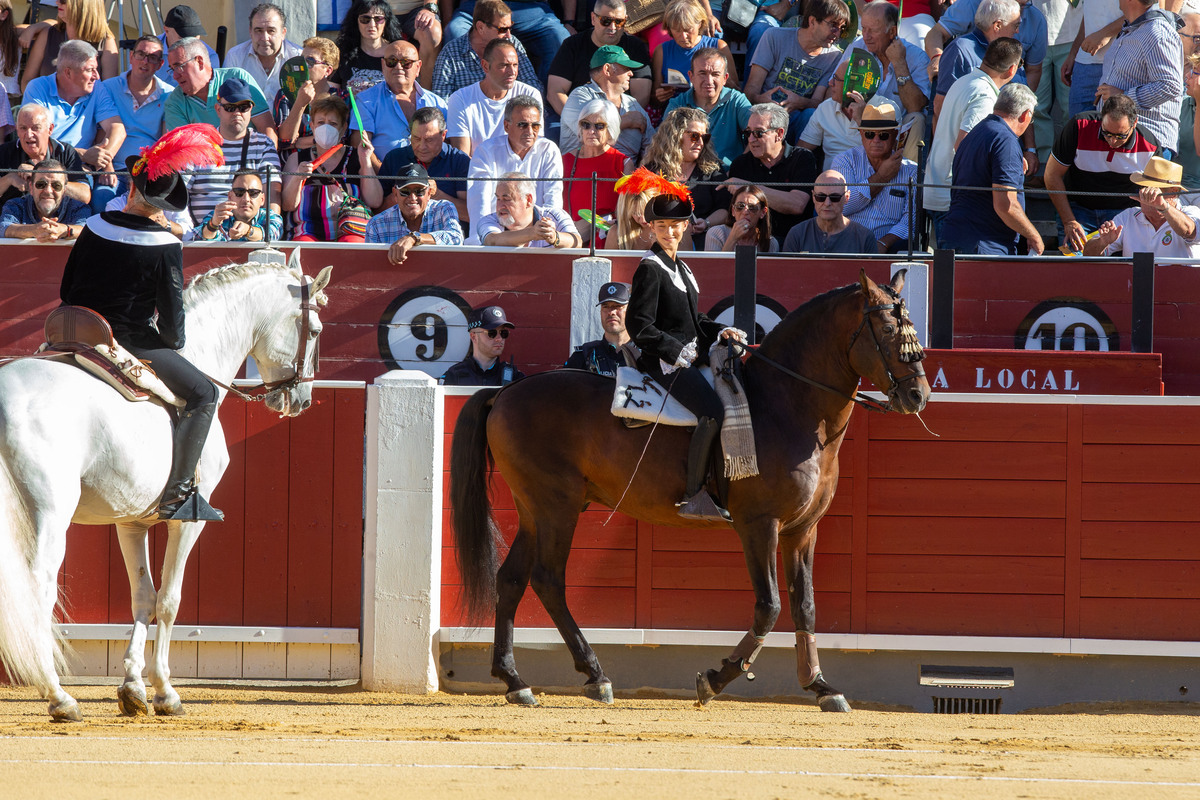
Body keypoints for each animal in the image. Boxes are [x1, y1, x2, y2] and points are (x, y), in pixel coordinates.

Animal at [0, 253, 333, 724]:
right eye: (316, 329)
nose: (300, 400)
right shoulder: (188, 521)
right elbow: (170, 599)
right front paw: (164, 691)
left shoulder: (131, 521)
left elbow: (142, 596)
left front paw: (133, 687)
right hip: (47, 514)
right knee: (37, 588)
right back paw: (59, 696)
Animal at [451, 271, 926, 714]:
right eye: (887, 329)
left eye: (912, 329)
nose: (918, 393)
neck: (787, 405)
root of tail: (506, 391)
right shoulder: (759, 525)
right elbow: (769, 605)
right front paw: (717, 678)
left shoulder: (802, 529)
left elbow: (804, 605)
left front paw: (821, 686)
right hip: (557, 507)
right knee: (548, 580)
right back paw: (595, 675)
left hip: (534, 509)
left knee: (511, 578)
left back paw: (515, 681)